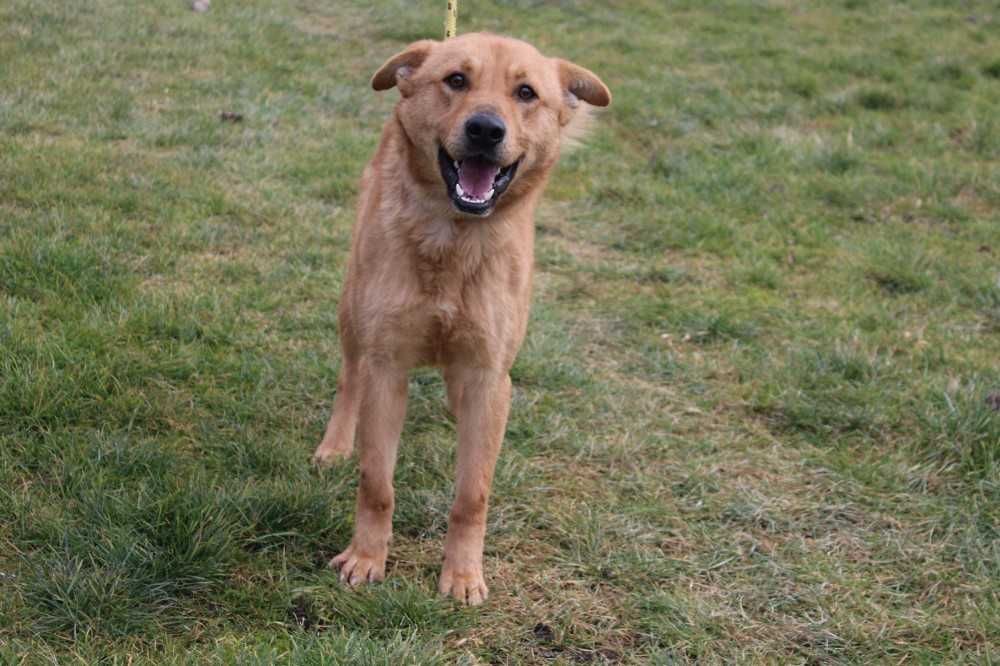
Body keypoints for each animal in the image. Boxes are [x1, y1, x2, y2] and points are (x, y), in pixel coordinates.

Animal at [311, 32, 610, 605]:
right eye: (456, 80)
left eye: (525, 92)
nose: (485, 129)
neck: (454, 242)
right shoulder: (387, 367)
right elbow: (377, 483)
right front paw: (366, 558)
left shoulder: (488, 374)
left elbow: (473, 493)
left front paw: (464, 575)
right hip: (352, 309)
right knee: (348, 379)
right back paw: (335, 444)